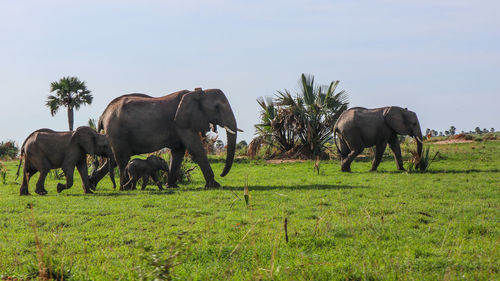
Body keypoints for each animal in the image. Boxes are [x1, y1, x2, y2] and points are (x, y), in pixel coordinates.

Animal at [90, 87, 240, 189]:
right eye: (217, 107)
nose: (222, 174)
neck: (196, 92)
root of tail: (103, 115)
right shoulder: (182, 123)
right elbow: (196, 149)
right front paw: (215, 185)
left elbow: (178, 153)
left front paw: (172, 186)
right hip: (117, 133)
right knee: (121, 159)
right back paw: (123, 188)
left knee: (115, 159)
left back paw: (92, 186)